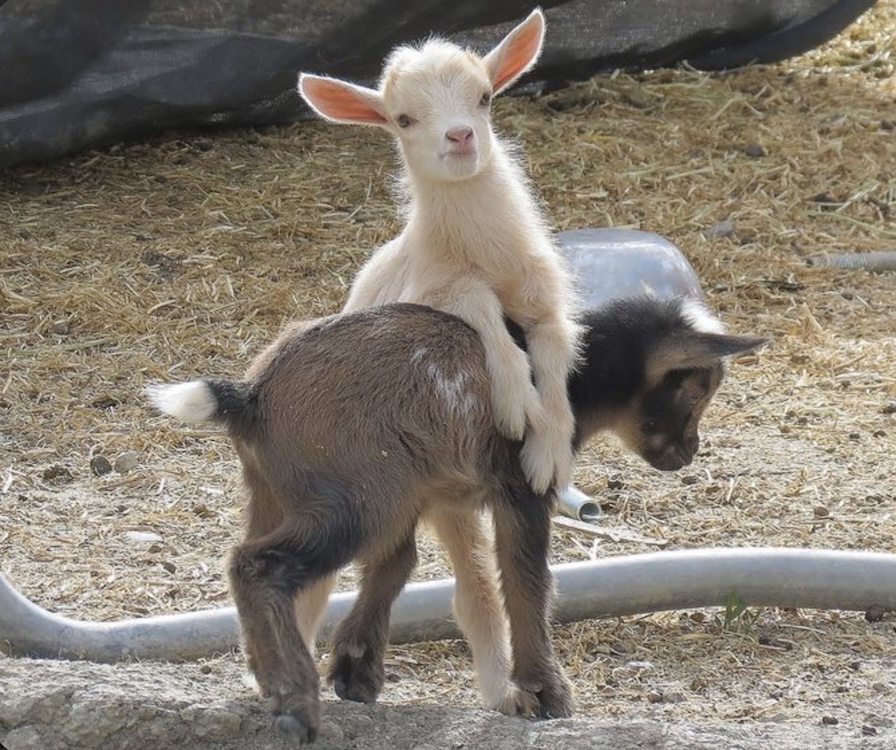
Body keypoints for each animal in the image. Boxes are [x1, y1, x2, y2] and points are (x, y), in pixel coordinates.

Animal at [148, 296, 764, 742]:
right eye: (697, 389)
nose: (689, 452)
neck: (568, 376)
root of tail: (251, 394)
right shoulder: (521, 484)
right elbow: (525, 580)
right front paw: (547, 694)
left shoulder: (429, 495)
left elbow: (401, 565)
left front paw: (356, 668)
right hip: (356, 499)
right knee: (264, 565)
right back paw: (294, 700)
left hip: (284, 490)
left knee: (243, 561)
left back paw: (267, 680)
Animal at [298, 8, 581, 496]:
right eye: (403, 119)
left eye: (484, 97)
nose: (460, 136)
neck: (488, 255)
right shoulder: (437, 287)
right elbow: (481, 308)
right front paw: (519, 406)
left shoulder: (543, 295)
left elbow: (554, 353)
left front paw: (549, 454)